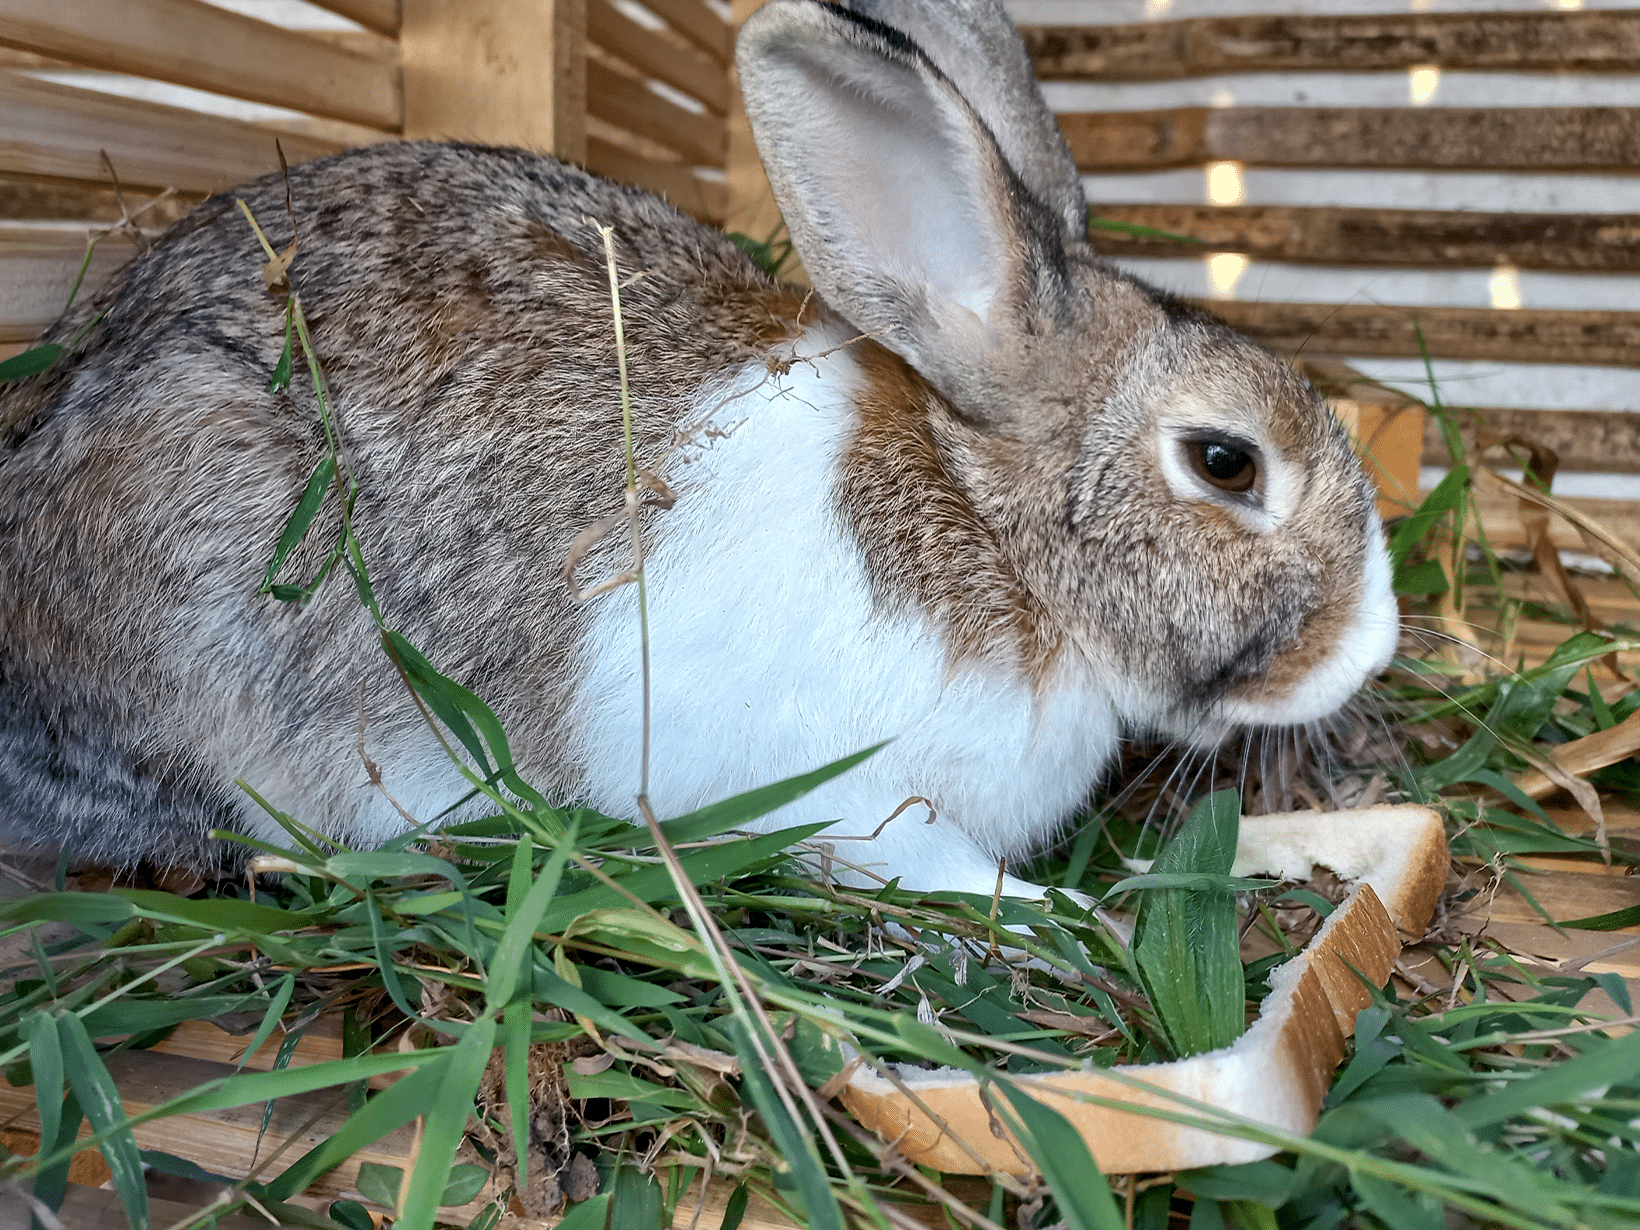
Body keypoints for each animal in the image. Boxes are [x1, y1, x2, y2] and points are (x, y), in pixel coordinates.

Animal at [0, 0, 1397, 898]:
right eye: (1225, 464)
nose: (1373, 647)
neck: (998, 540)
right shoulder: (866, 804)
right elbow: (944, 872)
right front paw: (1058, 915)